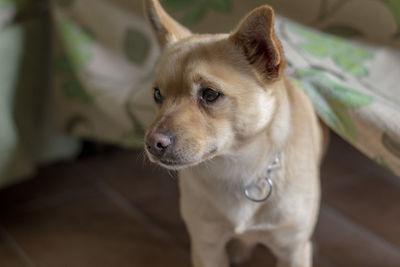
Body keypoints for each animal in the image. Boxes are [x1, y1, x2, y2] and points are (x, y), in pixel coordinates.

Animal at [143, 1, 324, 266]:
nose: (151, 143)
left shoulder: (293, 250)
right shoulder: (206, 245)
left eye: (209, 94)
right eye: (157, 95)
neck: (236, 169)